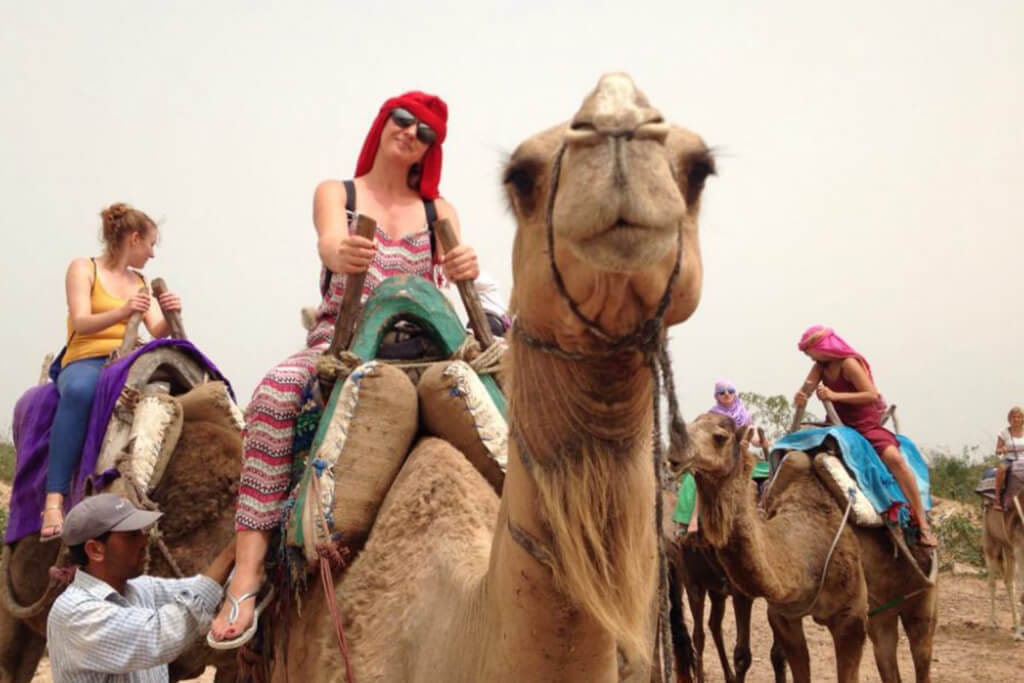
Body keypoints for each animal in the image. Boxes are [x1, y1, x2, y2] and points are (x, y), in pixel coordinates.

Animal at [685, 413, 937, 683]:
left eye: (720, 436)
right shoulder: (784, 616)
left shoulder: (850, 618)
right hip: (883, 612)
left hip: (922, 599)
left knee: (922, 647)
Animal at [981, 483, 1024, 640]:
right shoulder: (1019, 545)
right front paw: (1018, 634)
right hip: (990, 540)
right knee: (993, 582)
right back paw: (992, 622)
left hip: (1008, 548)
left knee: (1008, 581)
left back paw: (1014, 624)